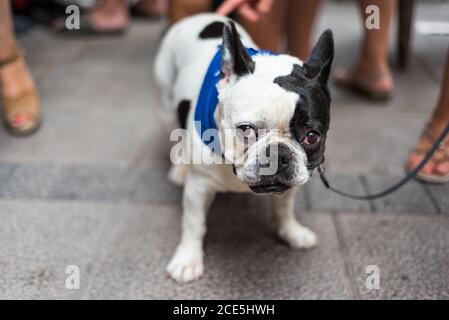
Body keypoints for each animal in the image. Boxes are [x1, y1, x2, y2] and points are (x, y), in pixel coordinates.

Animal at [154, 13, 332, 282]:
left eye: (312, 137)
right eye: (245, 129)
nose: (278, 153)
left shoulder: (291, 183)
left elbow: (284, 209)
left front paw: (292, 231)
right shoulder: (198, 187)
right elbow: (194, 224)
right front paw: (188, 259)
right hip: (166, 103)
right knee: (177, 135)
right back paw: (179, 169)